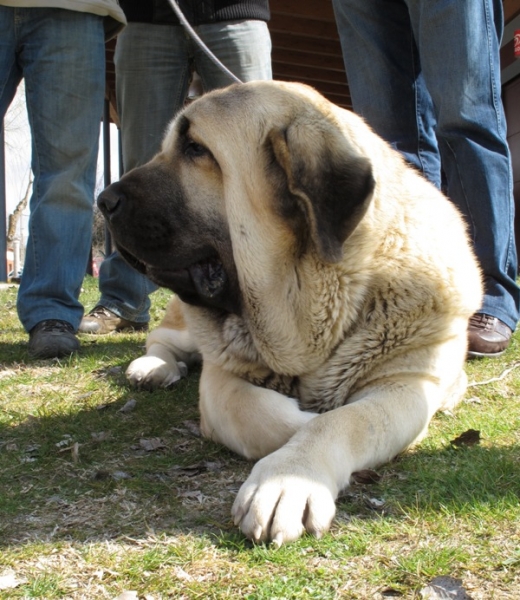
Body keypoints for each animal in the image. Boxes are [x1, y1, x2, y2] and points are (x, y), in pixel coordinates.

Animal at [98, 81, 484, 548]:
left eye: (195, 149)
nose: (103, 199)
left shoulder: (408, 384)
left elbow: (344, 419)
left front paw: (290, 477)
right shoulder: (221, 379)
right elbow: (266, 414)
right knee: (163, 339)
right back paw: (152, 367)